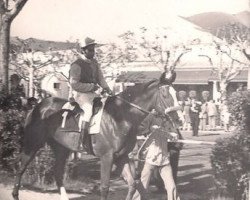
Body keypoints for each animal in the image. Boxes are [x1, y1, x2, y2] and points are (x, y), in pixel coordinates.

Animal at [12, 73, 172, 200]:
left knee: (57, 172)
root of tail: (38, 106)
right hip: (33, 143)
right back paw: (15, 194)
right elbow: (105, 187)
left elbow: (133, 184)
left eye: (175, 93)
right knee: (21, 167)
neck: (120, 115)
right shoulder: (107, 157)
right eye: (166, 95)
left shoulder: (121, 156)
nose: (176, 115)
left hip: (61, 148)